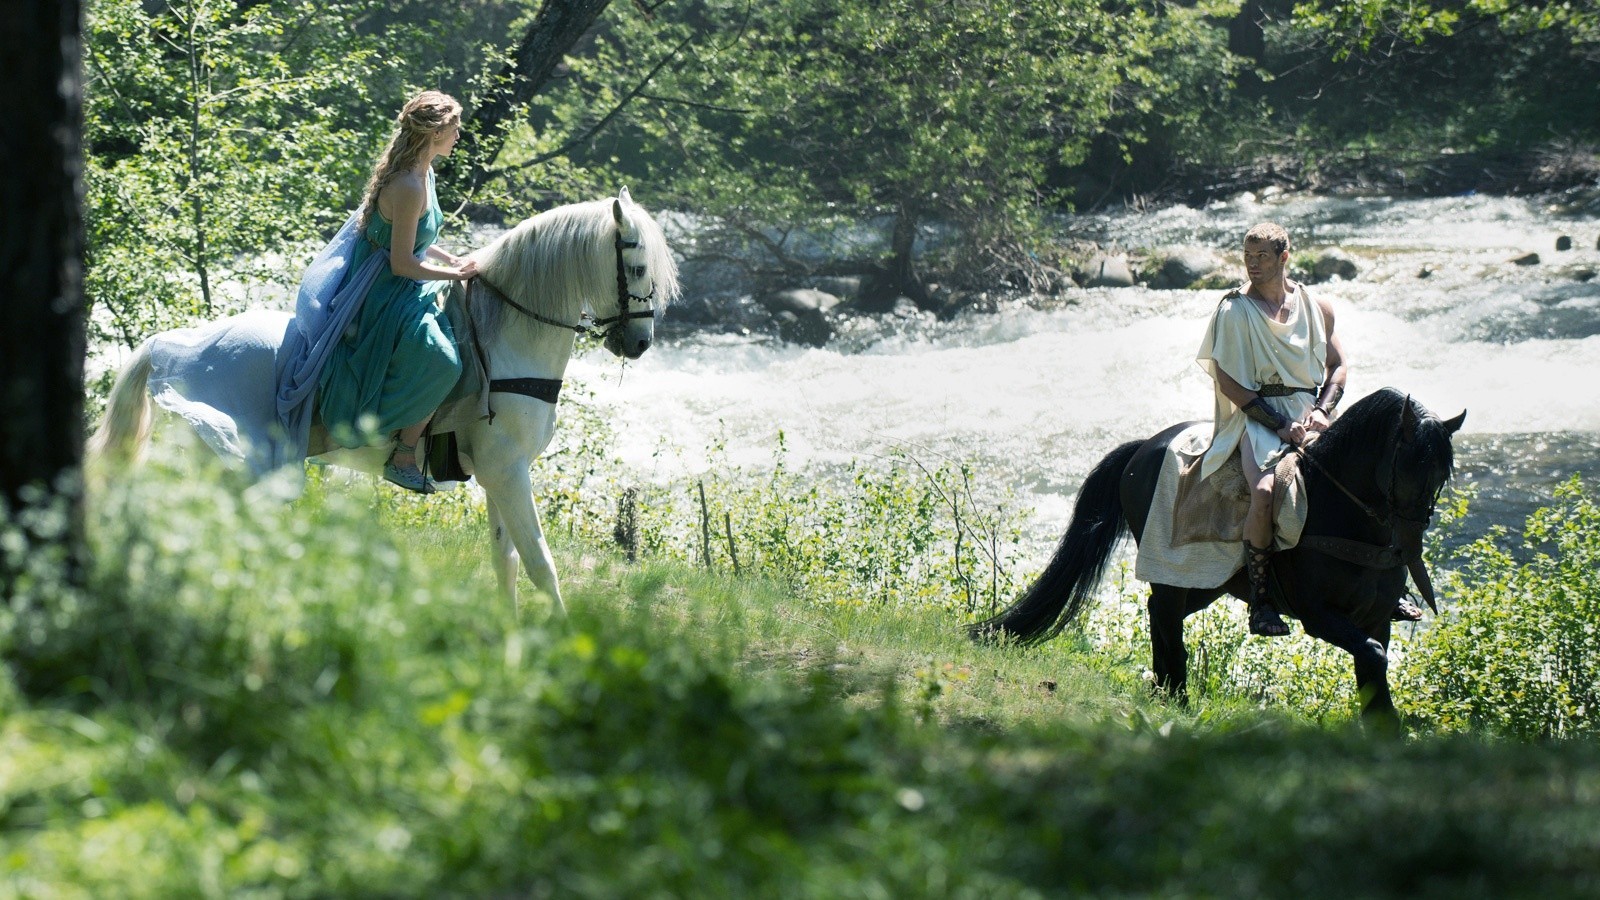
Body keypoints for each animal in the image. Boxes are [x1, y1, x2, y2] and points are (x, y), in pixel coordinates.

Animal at [92, 188, 681, 608]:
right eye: (636, 267)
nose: (640, 342)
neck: (506, 340)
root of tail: (171, 347)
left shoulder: (498, 476)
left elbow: (506, 563)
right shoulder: (508, 471)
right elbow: (541, 566)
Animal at [972, 387, 1465, 720]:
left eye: (1442, 474)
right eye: (1408, 466)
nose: (1408, 544)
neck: (1341, 512)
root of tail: (1142, 449)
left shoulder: (1376, 617)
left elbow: (1373, 666)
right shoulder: (1319, 616)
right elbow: (1373, 656)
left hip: (1205, 583)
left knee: (1158, 613)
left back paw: (1164, 689)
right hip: (1172, 573)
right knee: (1164, 614)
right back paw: (1175, 694)